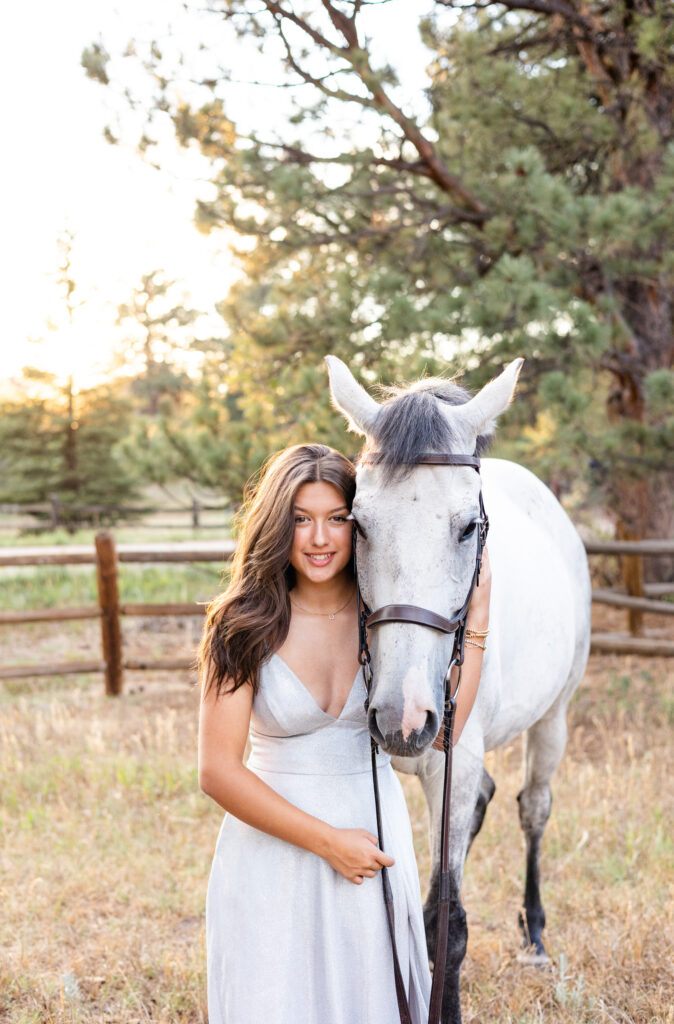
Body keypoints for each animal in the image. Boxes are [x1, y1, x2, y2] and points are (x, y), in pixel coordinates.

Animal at [325, 354, 590, 1024]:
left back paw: (535, 936)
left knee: (533, 808)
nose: (404, 715)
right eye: (356, 523)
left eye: (469, 527)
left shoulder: (454, 760)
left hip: (554, 717)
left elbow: (446, 921)